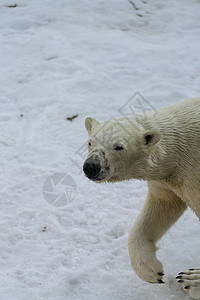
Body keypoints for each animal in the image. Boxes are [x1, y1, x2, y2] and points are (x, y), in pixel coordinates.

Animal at [83, 97, 200, 298]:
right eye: (91, 142)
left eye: (118, 147)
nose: (91, 166)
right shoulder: (169, 179)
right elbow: (161, 207)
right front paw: (151, 270)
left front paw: (192, 281)